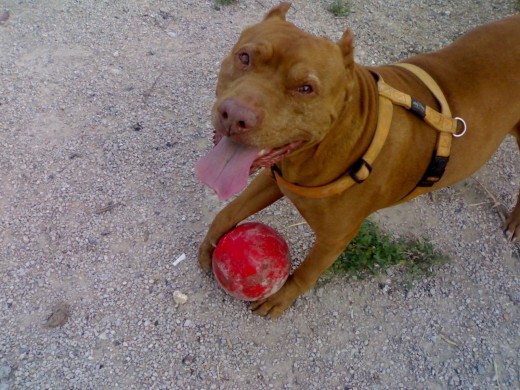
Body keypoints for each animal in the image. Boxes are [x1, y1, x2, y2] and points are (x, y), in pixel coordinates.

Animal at [195, 3, 520, 318]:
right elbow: (229, 211)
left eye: (306, 88)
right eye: (245, 57)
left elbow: (306, 272)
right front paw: (210, 246)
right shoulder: (276, 178)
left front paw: (280, 298)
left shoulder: (335, 238)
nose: (235, 116)